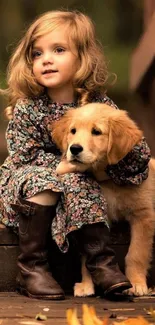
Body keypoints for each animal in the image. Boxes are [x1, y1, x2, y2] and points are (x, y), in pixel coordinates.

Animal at [51, 104, 155, 296]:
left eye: (96, 132)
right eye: (73, 131)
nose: (74, 149)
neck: (108, 181)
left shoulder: (143, 216)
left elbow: (136, 253)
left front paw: (136, 284)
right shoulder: (96, 215)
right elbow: (88, 255)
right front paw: (86, 285)